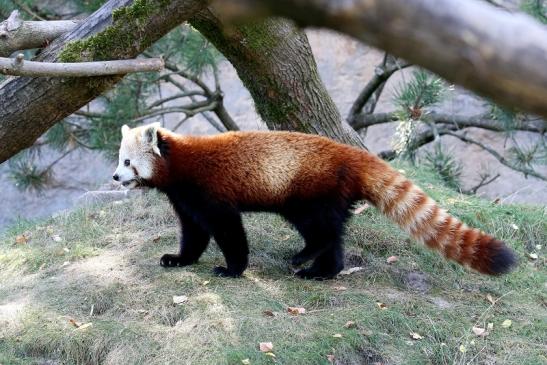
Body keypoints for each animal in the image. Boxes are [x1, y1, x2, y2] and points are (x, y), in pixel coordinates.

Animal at [113, 122, 516, 278]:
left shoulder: (212, 192)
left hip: (309, 193)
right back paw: (322, 271)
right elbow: (193, 233)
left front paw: (233, 268)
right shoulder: (185, 200)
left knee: (320, 230)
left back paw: (304, 258)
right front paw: (179, 259)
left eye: (127, 162)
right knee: (334, 235)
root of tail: (352, 154)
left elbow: (229, 231)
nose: (115, 178)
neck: (180, 164)